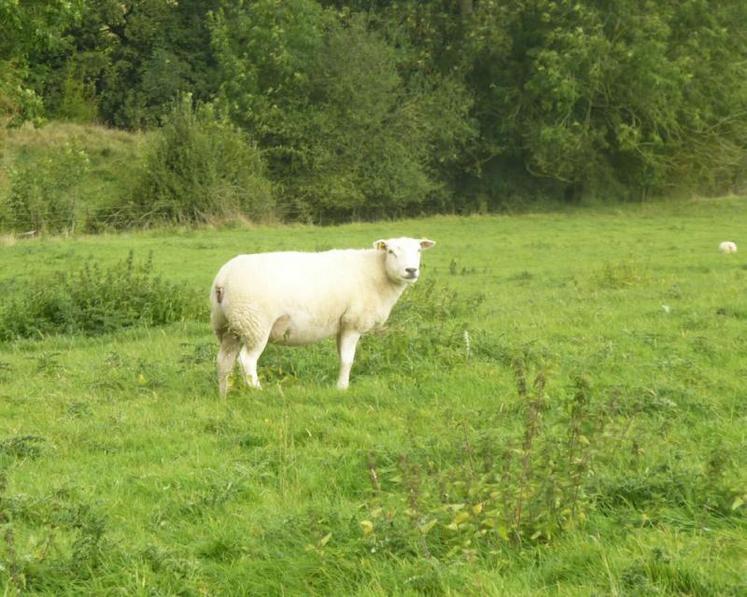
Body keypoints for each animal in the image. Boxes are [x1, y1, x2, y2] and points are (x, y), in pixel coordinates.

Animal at [207, 236, 436, 396]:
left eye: (418, 250)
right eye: (390, 251)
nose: (411, 270)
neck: (378, 274)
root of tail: (223, 279)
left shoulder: (341, 325)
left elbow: (341, 358)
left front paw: (339, 384)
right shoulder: (353, 323)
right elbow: (348, 360)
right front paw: (342, 388)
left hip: (228, 326)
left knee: (224, 361)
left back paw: (224, 394)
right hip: (255, 323)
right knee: (246, 360)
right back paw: (258, 392)